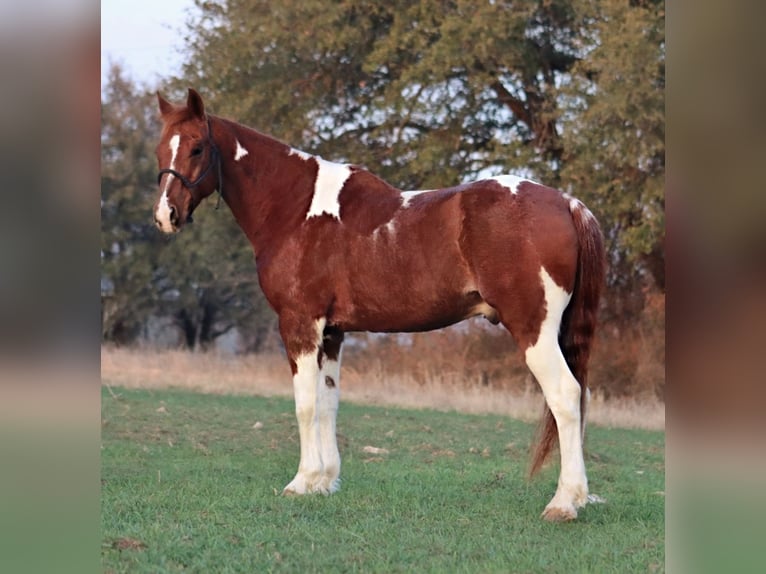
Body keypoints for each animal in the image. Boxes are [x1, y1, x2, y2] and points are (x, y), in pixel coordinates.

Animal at [153, 88, 606, 521]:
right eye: (160, 150)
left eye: (197, 148)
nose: (165, 215)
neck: (295, 209)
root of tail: (566, 202)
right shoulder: (332, 332)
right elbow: (328, 402)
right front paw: (324, 482)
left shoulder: (300, 324)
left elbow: (305, 404)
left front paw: (300, 482)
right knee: (580, 397)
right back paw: (579, 497)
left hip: (534, 330)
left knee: (565, 396)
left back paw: (563, 503)